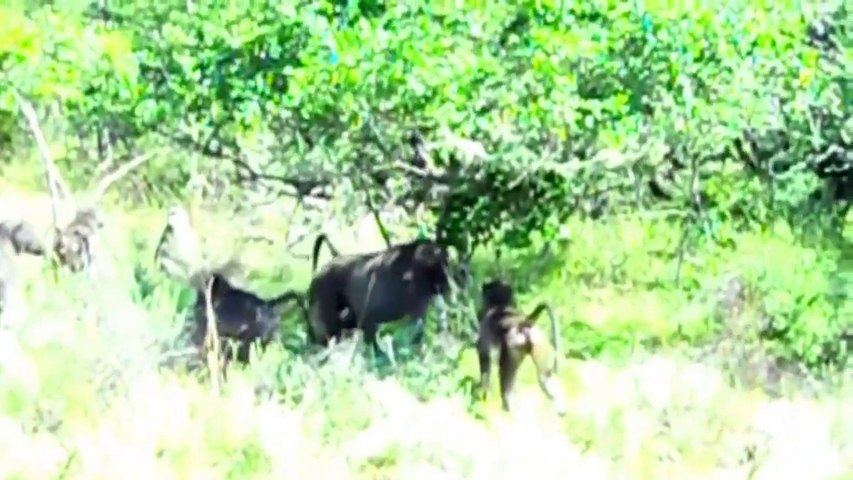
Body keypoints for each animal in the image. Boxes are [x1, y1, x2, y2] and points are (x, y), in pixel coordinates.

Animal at [475, 278, 566, 416]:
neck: (500, 306)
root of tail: (521, 323)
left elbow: (485, 362)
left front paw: (481, 396)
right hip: (539, 341)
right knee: (544, 377)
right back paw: (561, 410)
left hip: (513, 347)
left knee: (505, 377)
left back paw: (507, 409)